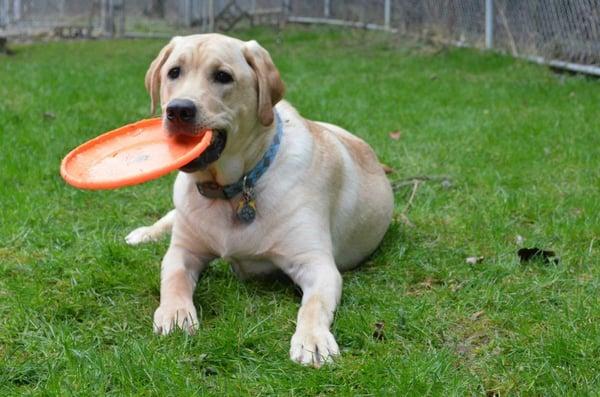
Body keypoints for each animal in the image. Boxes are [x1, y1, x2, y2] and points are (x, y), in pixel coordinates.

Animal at [126, 33, 394, 366]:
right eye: (174, 72)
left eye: (223, 76)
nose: (178, 110)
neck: (235, 187)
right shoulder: (182, 251)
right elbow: (173, 280)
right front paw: (175, 313)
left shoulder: (316, 264)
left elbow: (313, 305)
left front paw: (313, 340)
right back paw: (144, 233)